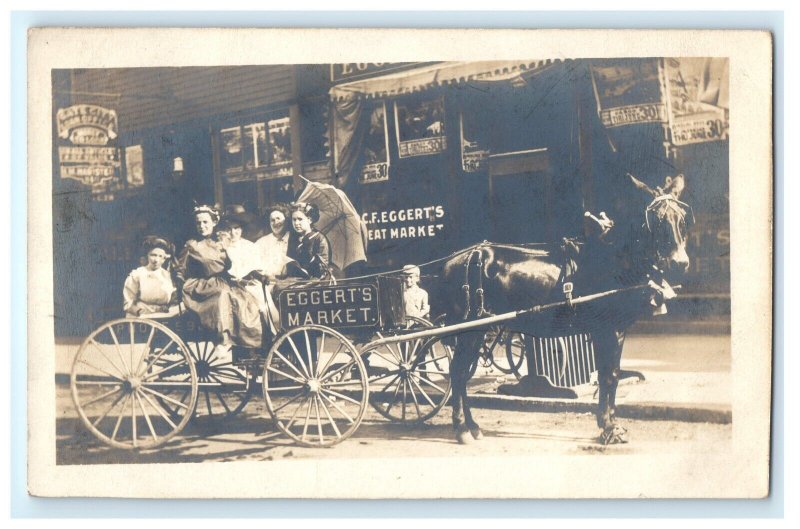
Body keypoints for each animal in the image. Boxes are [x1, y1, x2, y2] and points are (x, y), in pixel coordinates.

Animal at [440, 172, 692, 442]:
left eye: (682, 218)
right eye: (656, 220)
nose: (680, 263)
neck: (612, 260)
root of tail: (456, 260)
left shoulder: (615, 330)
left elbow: (609, 374)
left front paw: (609, 423)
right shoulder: (607, 330)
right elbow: (608, 376)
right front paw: (609, 429)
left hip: (478, 331)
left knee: (462, 373)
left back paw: (473, 426)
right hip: (470, 330)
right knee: (457, 372)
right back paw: (462, 428)